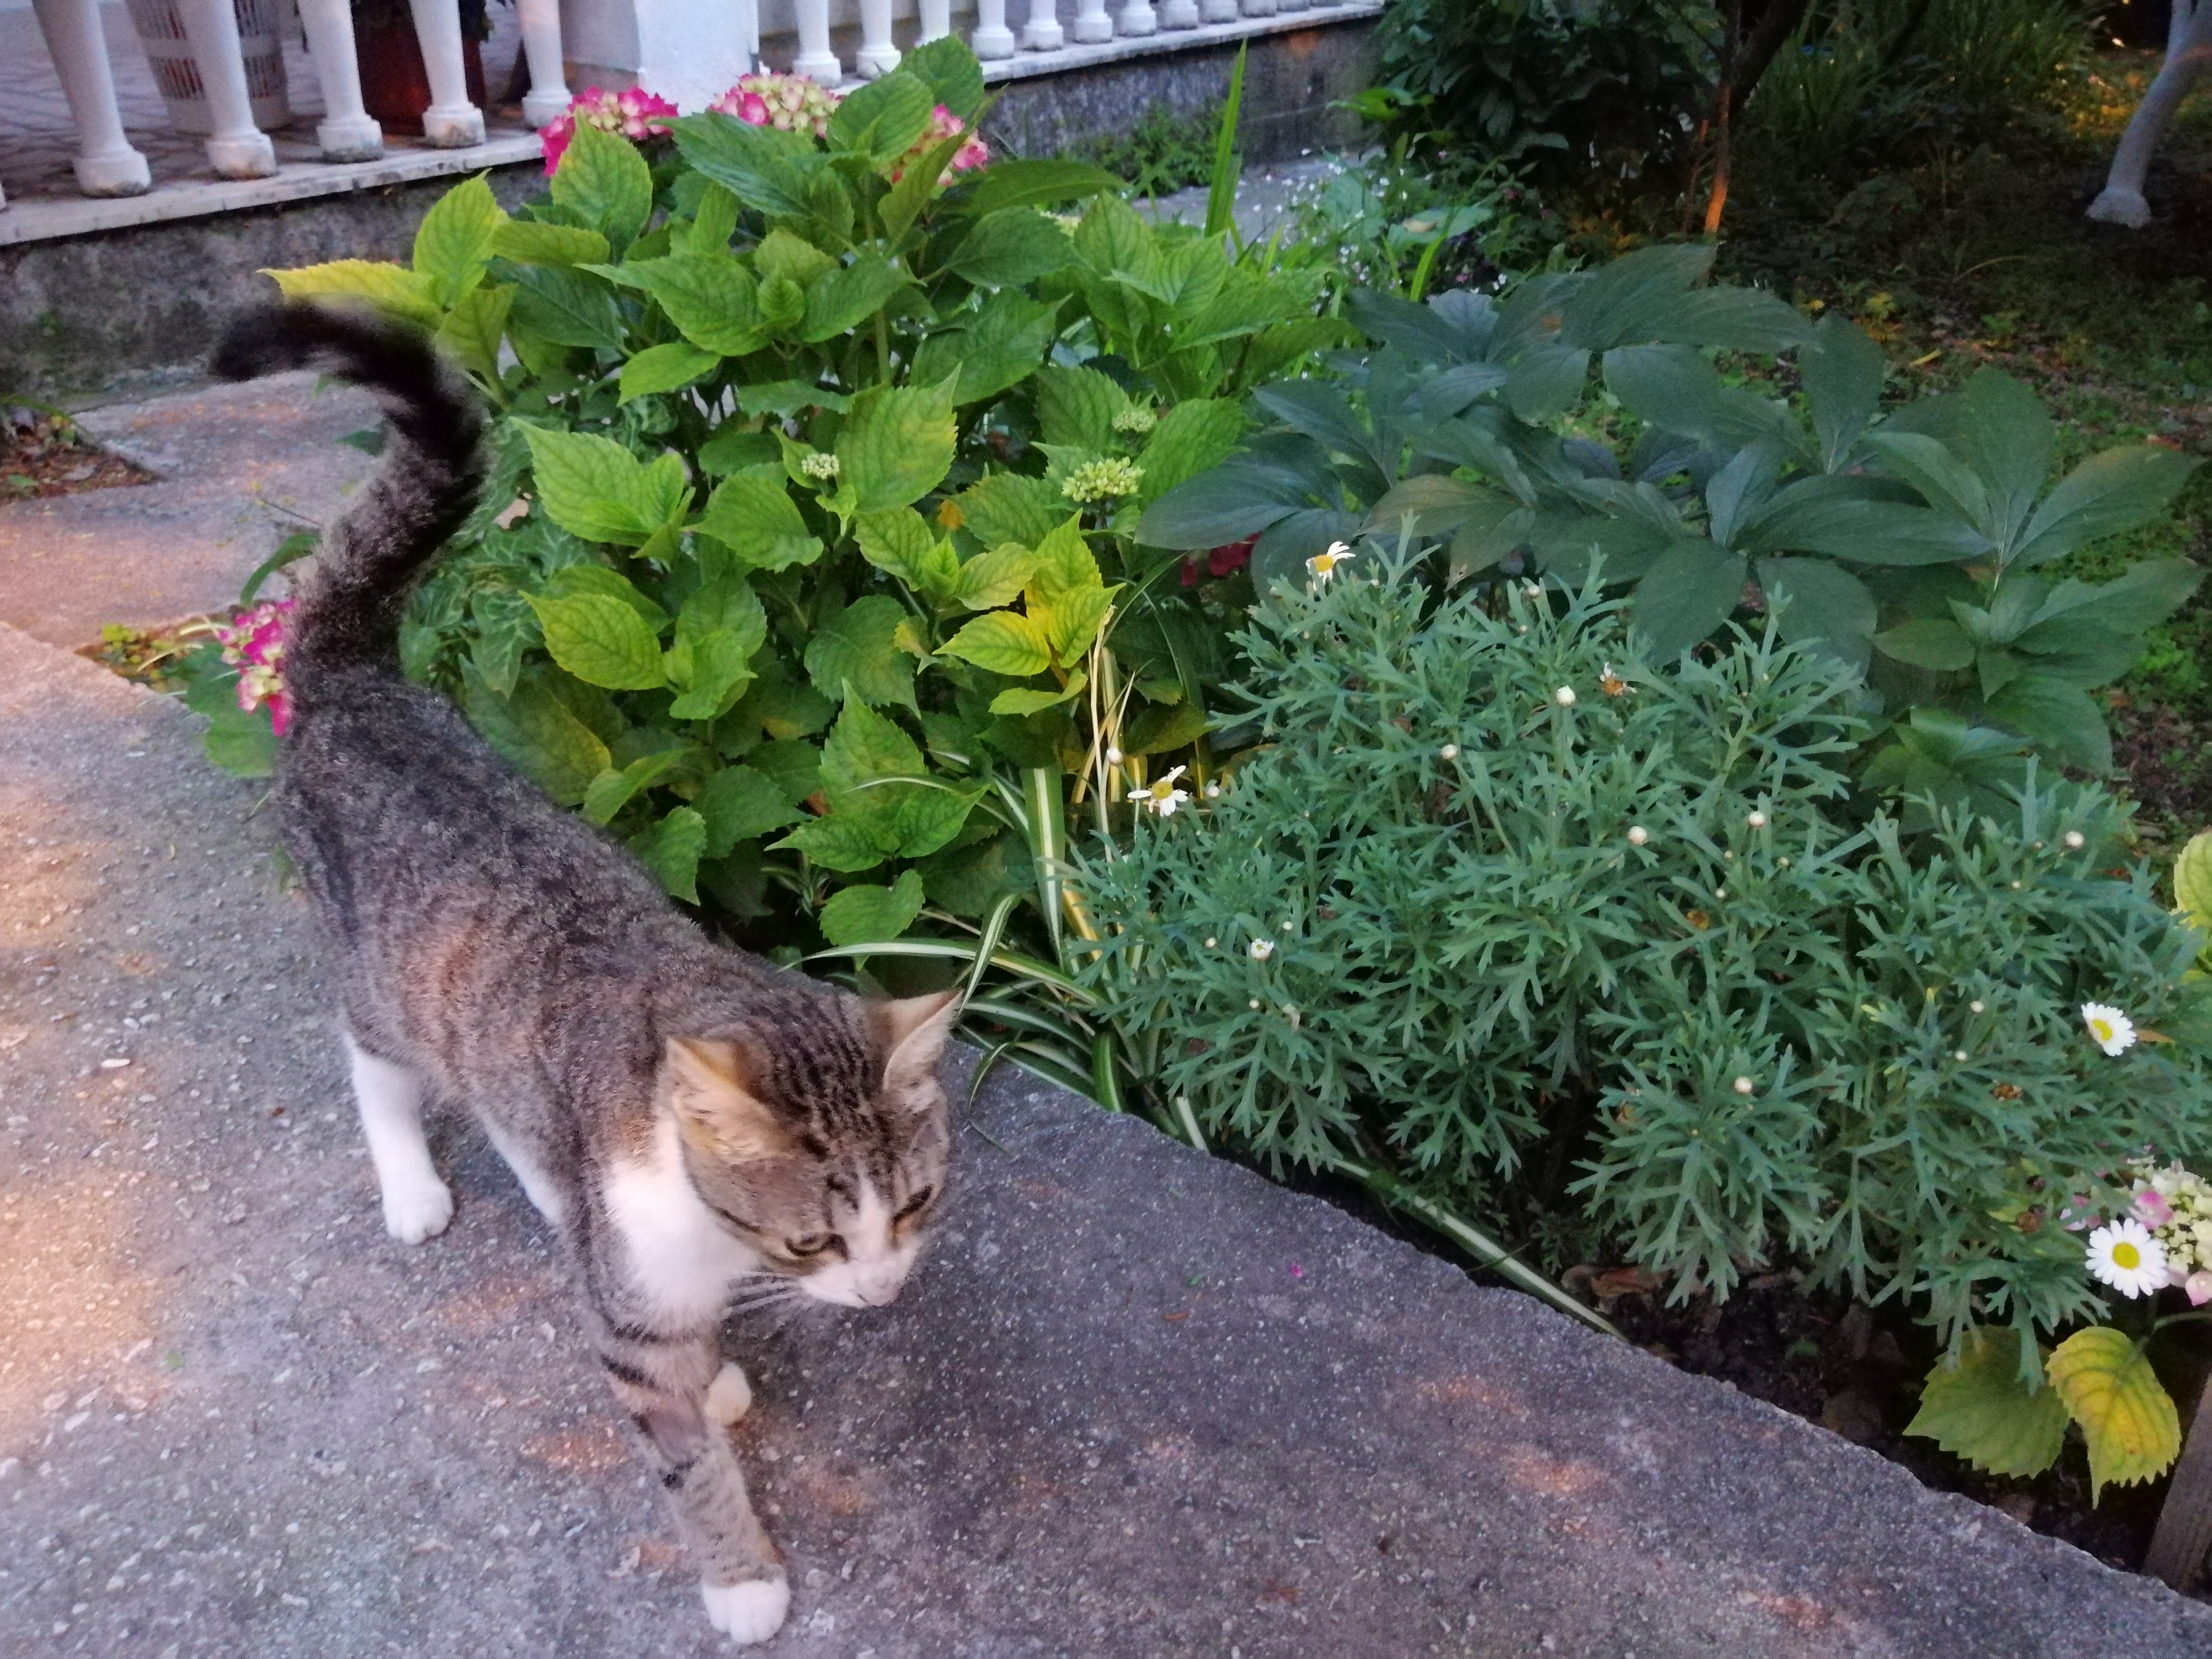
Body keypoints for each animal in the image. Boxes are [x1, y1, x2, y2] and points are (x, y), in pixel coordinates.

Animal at [211, 301, 958, 1647]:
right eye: (820, 1240)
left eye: (917, 1205)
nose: (880, 1297)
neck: (714, 1245)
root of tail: (353, 673)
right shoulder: (633, 1310)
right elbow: (680, 1453)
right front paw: (742, 1578)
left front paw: (720, 1375)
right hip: (379, 973)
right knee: (371, 1062)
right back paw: (412, 1183)